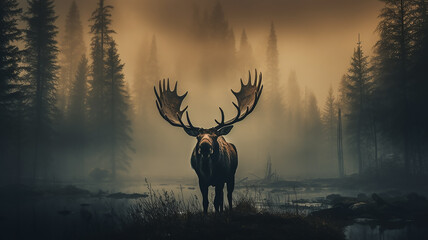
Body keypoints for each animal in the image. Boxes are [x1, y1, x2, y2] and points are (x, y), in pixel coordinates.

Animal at [152, 70, 262, 213]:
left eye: (215, 136)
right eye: (198, 137)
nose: (204, 147)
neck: (209, 172)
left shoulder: (221, 179)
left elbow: (216, 201)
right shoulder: (202, 180)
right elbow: (206, 202)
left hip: (231, 176)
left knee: (228, 195)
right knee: (222, 197)